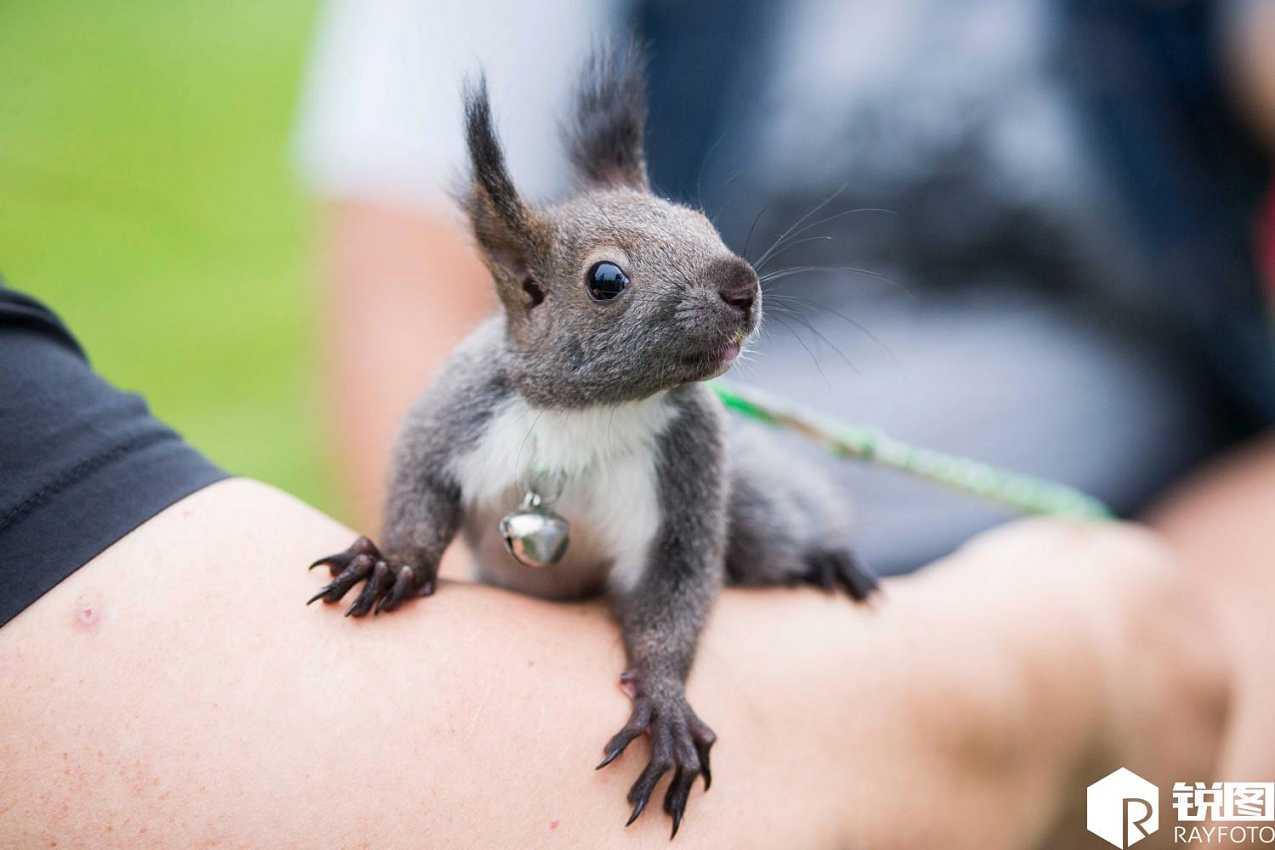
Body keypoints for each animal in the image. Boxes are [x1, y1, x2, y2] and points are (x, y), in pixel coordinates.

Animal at [308, 44, 877, 835]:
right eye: (606, 279)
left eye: (702, 221)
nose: (743, 286)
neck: (590, 413)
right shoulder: (457, 414)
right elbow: (418, 493)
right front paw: (394, 562)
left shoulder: (691, 463)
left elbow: (674, 588)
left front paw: (664, 706)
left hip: (755, 513)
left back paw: (826, 558)